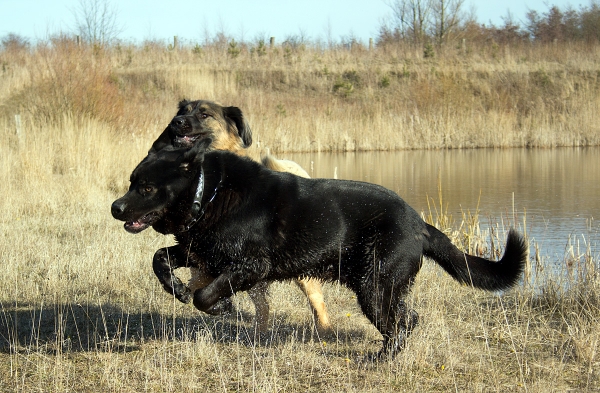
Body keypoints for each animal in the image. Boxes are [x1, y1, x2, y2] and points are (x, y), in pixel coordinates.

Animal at [111, 141, 524, 358]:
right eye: (131, 181)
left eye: (146, 187)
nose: (115, 207)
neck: (208, 192)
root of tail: (420, 224)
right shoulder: (203, 252)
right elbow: (160, 260)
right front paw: (178, 289)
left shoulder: (250, 266)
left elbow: (206, 295)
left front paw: (221, 305)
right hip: (382, 287)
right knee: (409, 318)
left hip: (374, 286)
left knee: (401, 322)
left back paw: (381, 358)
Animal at [148, 99, 330, 332]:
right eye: (183, 112)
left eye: (204, 115)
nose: (176, 122)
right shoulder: (198, 253)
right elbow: (162, 261)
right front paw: (179, 289)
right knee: (263, 307)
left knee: (317, 302)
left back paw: (323, 330)